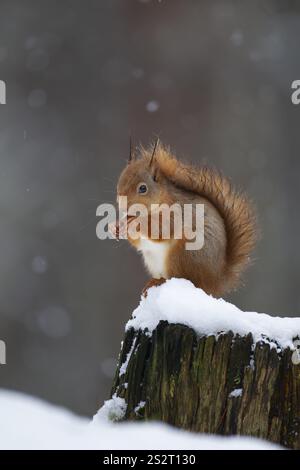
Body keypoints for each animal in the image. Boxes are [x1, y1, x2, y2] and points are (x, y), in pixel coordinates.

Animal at [110, 140, 255, 298]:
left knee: (182, 276)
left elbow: (162, 230)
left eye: (143, 188)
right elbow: (138, 242)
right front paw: (115, 227)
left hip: (185, 253)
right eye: (119, 181)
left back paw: (160, 281)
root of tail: (216, 281)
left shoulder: (176, 213)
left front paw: (136, 223)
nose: (122, 204)